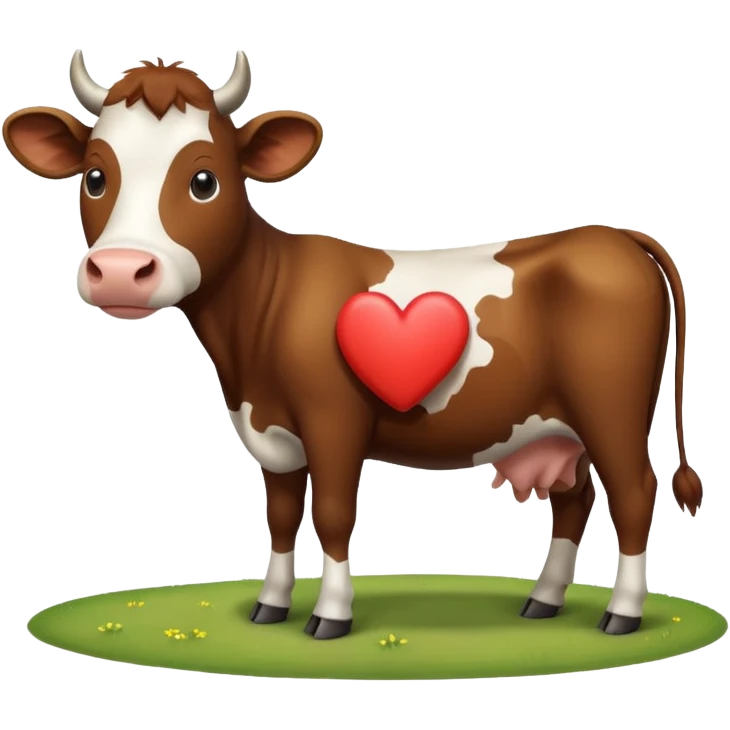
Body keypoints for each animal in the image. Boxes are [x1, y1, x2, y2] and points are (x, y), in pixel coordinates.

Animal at [1, 49, 702, 641]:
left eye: (204, 180)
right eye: (95, 176)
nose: (121, 271)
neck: (252, 334)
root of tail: (612, 236)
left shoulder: (334, 422)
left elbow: (335, 515)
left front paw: (331, 617)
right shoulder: (273, 434)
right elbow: (282, 518)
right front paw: (270, 607)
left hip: (611, 410)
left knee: (634, 493)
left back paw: (622, 615)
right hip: (556, 426)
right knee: (574, 498)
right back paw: (544, 600)